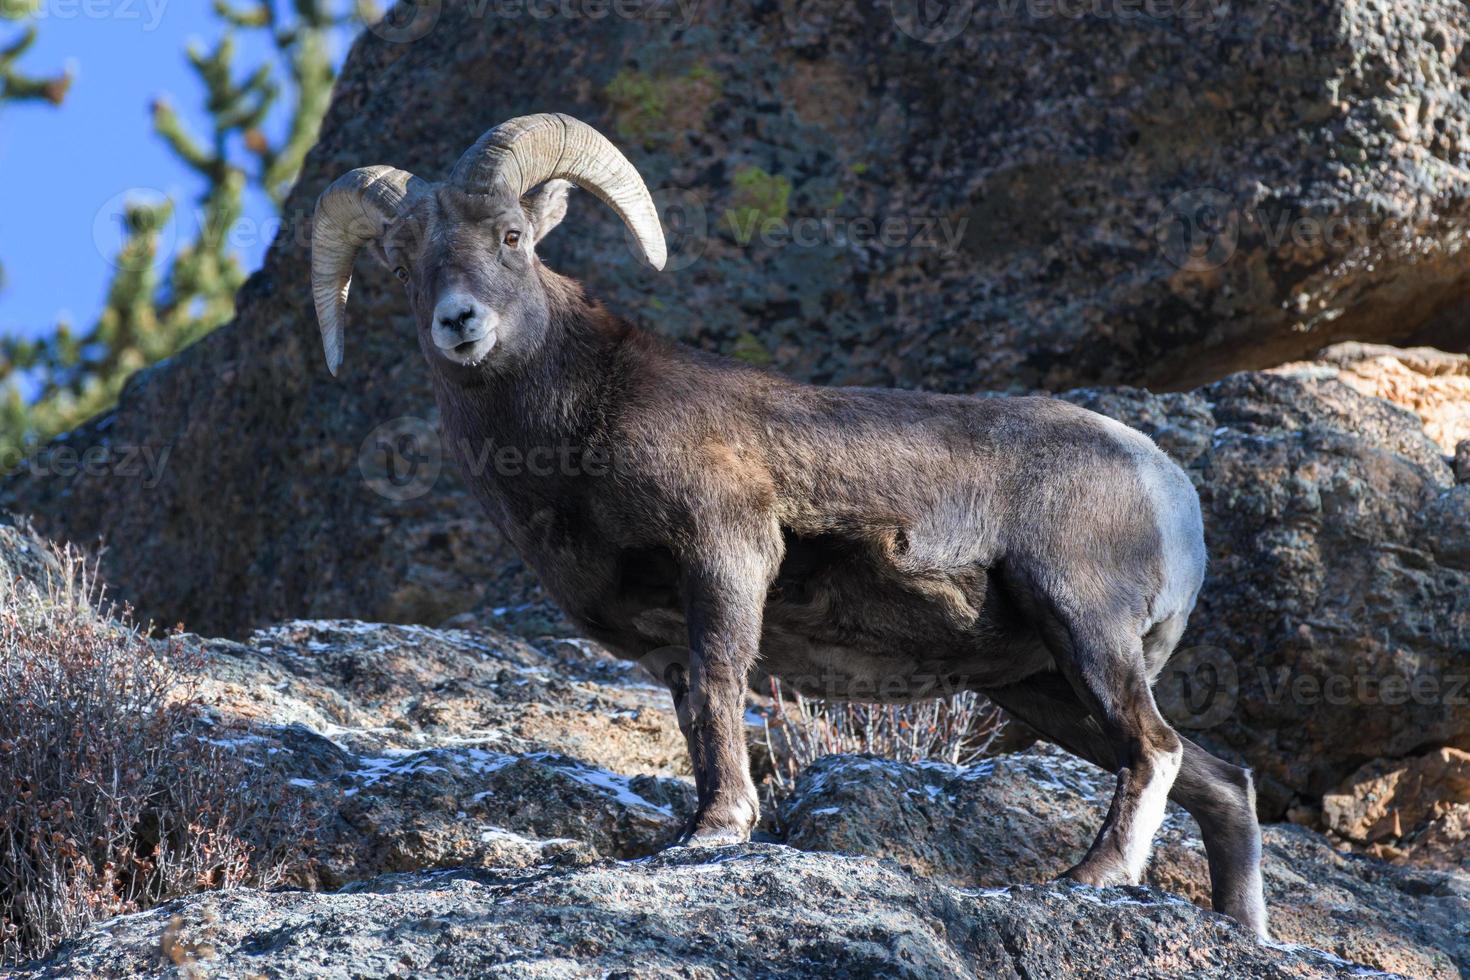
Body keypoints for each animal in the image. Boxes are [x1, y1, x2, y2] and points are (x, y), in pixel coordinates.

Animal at [307, 113, 1264, 934]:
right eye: (404, 265)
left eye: (511, 236)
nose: (459, 322)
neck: (574, 423)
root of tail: (1165, 485)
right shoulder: (664, 640)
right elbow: (697, 714)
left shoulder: (727, 555)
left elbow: (722, 686)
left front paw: (719, 828)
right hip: (1041, 686)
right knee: (1221, 785)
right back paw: (1241, 931)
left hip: (1084, 630)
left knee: (1156, 750)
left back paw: (1091, 876)